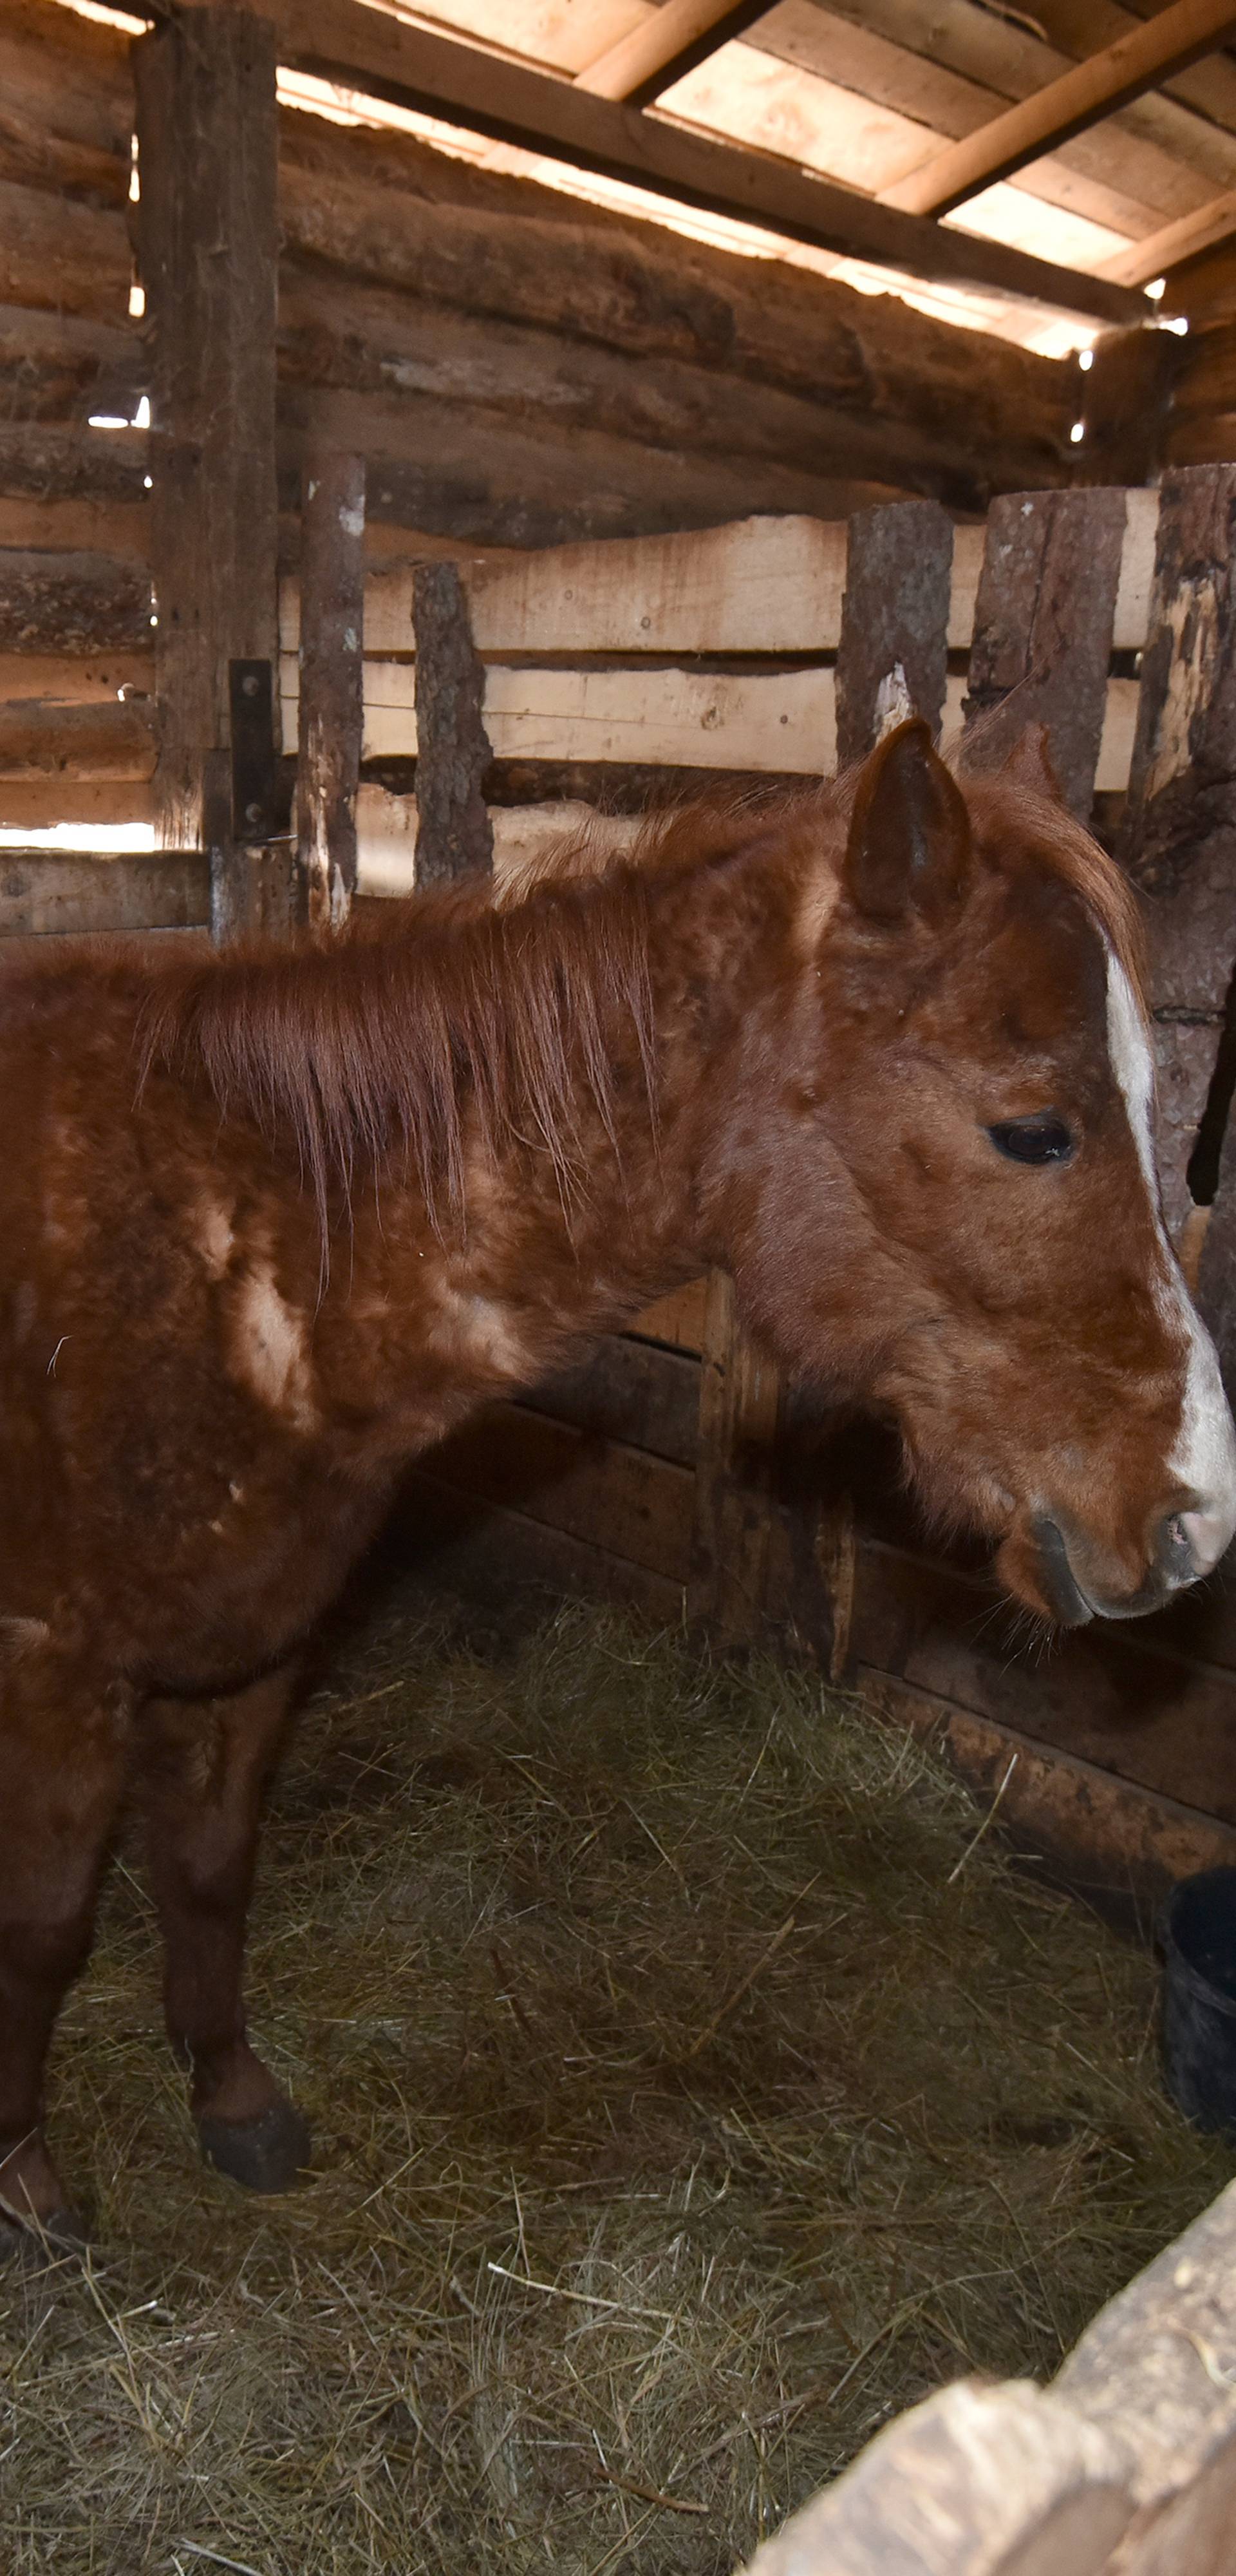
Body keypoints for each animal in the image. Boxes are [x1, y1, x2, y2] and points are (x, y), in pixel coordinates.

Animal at [2, 716, 1236, 2246]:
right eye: (1034, 1129)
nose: (1194, 1515)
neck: (239, 1246)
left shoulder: (254, 1643)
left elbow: (211, 1871)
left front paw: (231, 2100)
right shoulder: (58, 1677)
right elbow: (44, 1928)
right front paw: (25, 2172)